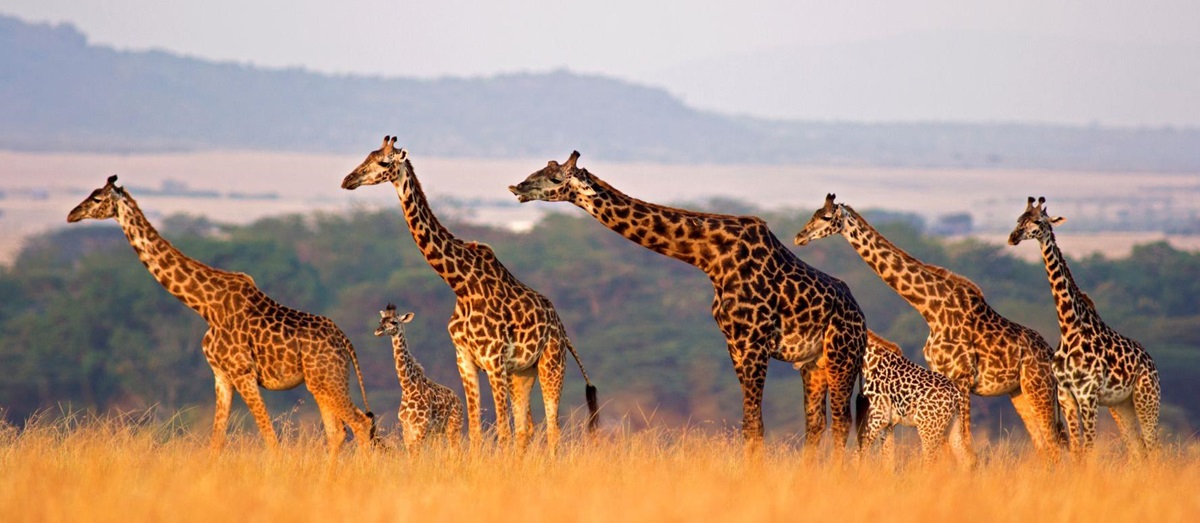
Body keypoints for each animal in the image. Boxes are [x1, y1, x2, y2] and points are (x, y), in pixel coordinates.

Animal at [67, 175, 376, 457]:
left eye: (97, 198)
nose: (72, 214)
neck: (205, 306)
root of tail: (345, 342)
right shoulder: (221, 375)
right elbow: (216, 442)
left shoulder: (242, 372)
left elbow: (270, 437)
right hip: (321, 383)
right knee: (338, 432)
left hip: (326, 379)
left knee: (360, 424)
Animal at [374, 304, 464, 454]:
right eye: (380, 321)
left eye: (394, 322)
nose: (378, 331)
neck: (408, 387)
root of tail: (459, 400)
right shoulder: (406, 427)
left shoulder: (421, 427)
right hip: (438, 432)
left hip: (454, 426)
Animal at [509, 152, 867, 453]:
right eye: (541, 169)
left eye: (556, 177)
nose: (517, 187)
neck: (711, 256)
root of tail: (862, 320)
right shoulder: (734, 344)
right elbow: (749, 424)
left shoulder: (754, 342)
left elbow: (755, 424)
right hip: (813, 364)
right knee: (816, 424)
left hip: (842, 357)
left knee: (842, 422)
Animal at [812, 330, 974, 469]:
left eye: (826, 345)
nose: (817, 363)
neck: (870, 363)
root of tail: (956, 394)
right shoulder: (888, 425)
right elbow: (887, 461)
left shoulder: (877, 419)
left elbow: (856, 456)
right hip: (953, 427)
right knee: (966, 459)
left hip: (929, 430)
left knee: (932, 462)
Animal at [1008, 196, 1160, 458]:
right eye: (1019, 219)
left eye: (1037, 221)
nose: (1013, 237)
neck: (1069, 327)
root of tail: (1151, 363)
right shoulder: (1066, 395)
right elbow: (1077, 450)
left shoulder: (1088, 395)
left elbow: (1087, 449)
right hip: (1121, 405)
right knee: (1137, 448)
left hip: (1147, 398)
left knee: (1153, 446)